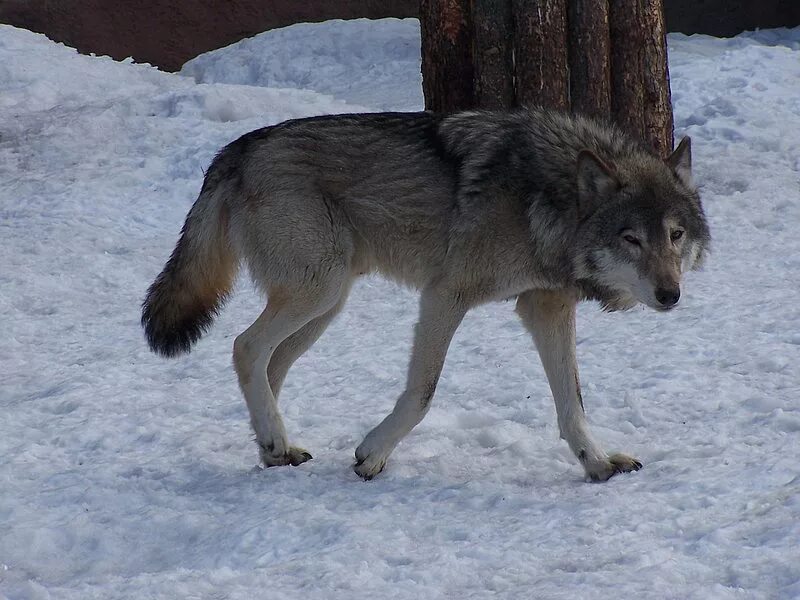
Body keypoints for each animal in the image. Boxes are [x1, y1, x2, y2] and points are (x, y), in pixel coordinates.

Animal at [141, 109, 708, 482]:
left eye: (675, 235)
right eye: (631, 239)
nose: (671, 294)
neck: (546, 200)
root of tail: (236, 149)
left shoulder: (545, 306)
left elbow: (573, 402)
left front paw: (598, 463)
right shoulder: (444, 296)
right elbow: (424, 392)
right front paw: (372, 455)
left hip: (326, 305)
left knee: (269, 365)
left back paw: (274, 448)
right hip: (316, 291)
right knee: (244, 348)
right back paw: (275, 441)